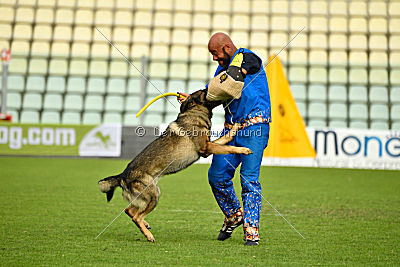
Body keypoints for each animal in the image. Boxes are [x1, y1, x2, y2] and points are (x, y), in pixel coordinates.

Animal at [98, 89, 252, 243]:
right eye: (204, 91)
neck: (194, 112)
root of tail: (122, 176)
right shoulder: (206, 148)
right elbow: (228, 148)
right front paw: (243, 150)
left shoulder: (208, 146)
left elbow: (226, 138)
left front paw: (236, 127)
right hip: (153, 195)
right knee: (136, 217)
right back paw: (148, 235)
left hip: (149, 195)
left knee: (129, 210)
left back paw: (146, 226)